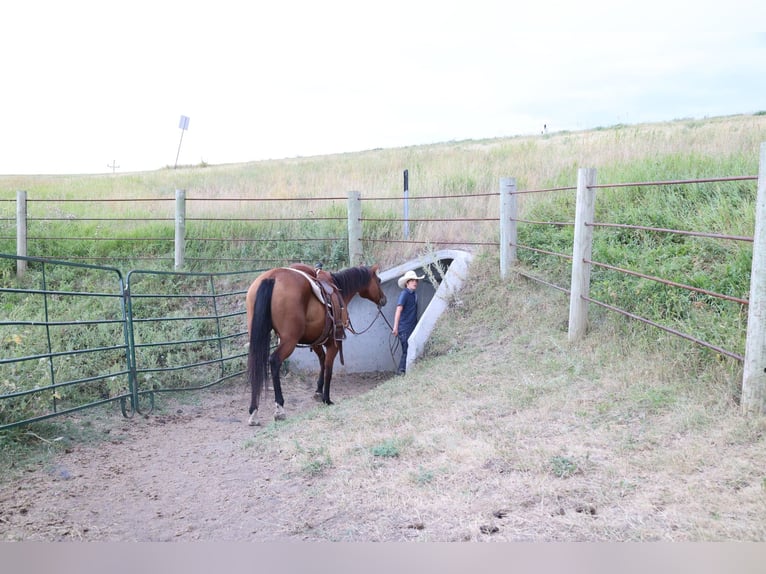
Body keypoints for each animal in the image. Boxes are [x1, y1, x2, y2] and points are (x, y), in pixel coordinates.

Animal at [245, 263, 387, 425]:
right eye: (379, 280)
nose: (384, 299)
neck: (338, 289)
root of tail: (272, 277)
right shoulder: (334, 343)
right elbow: (329, 368)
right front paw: (327, 398)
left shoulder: (315, 342)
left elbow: (322, 361)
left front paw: (318, 391)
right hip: (289, 341)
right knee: (274, 361)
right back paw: (279, 407)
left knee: (255, 363)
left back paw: (254, 411)